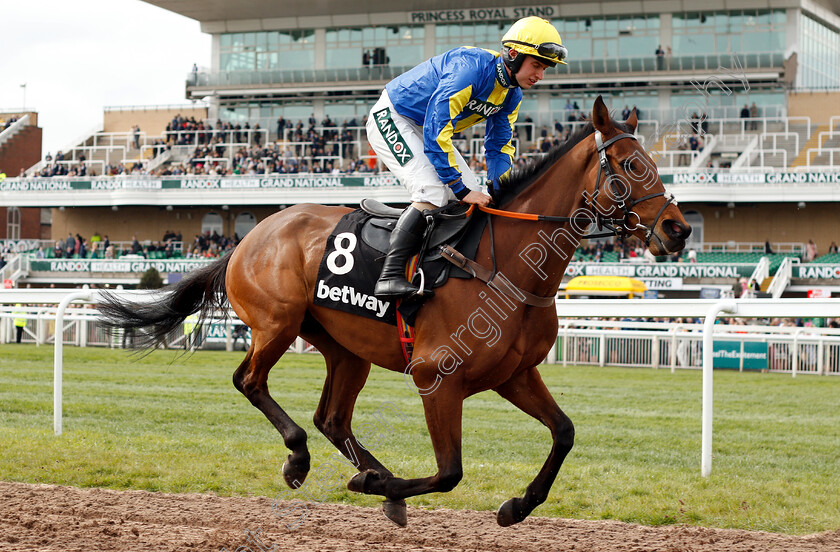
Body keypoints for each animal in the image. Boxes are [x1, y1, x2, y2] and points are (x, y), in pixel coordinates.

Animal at [98, 97, 688, 528]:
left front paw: (517, 506)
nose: (678, 230)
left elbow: (564, 432)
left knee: (332, 418)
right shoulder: (436, 378)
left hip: (344, 348)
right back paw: (305, 460)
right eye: (629, 165)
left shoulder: (515, 374)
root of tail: (248, 236)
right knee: (251, 381)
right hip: (277, 324)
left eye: (657, 163)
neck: (508, 266)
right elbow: (449, 471)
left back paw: (375, 478)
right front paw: (379, 485)